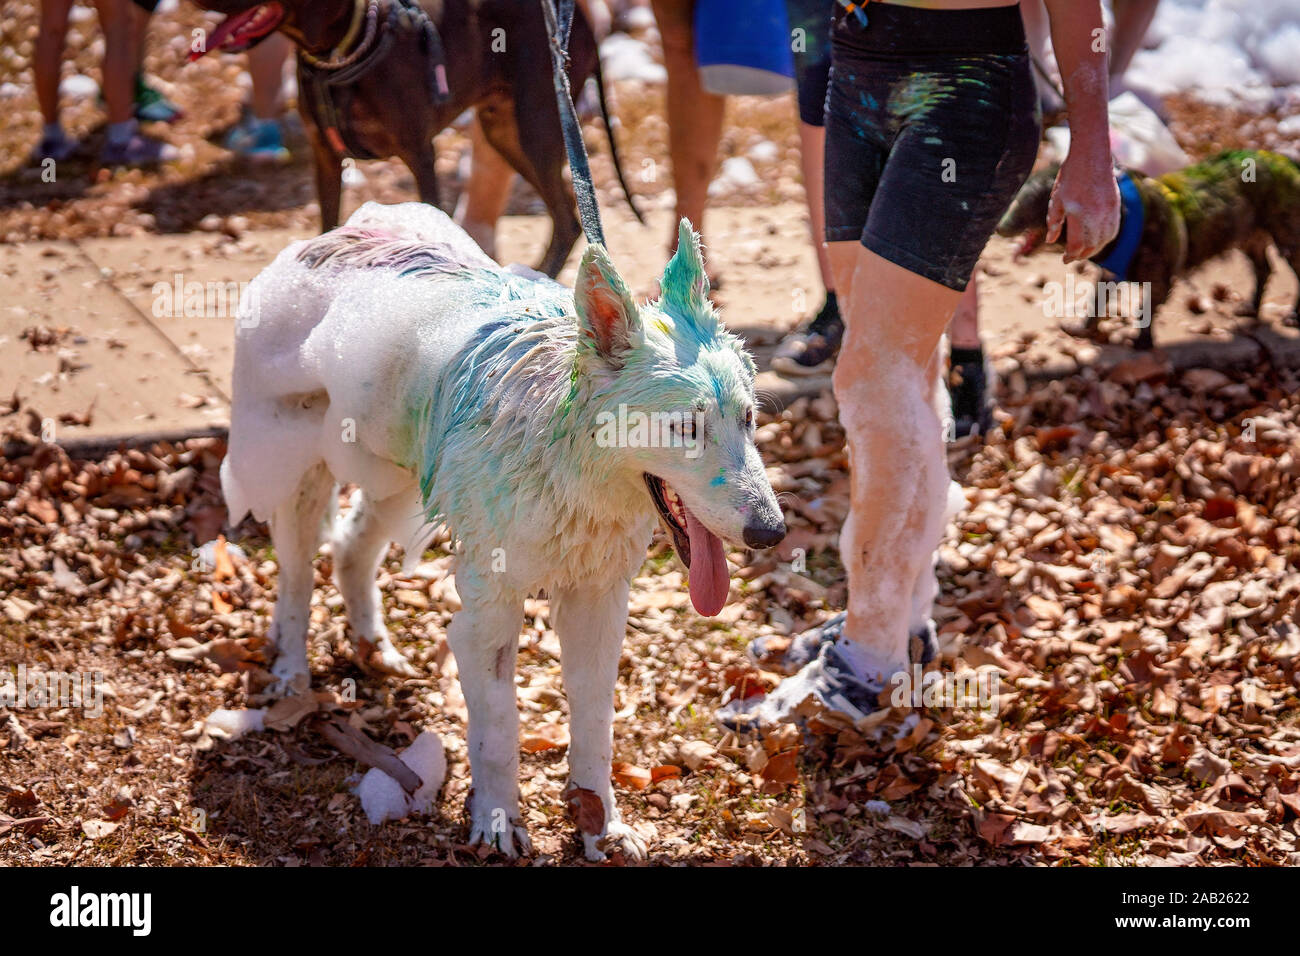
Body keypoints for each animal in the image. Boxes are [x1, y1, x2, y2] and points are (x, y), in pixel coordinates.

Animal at [192, 0, 639, 277]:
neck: (342, 51)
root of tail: (583, 23)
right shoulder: (325, 156)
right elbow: (328, 223)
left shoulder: (420, 153)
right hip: (505, 133)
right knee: (567, 218)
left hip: (535, 128)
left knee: (568, 218)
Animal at [998, 152, 1294, 351]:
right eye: (1016, 197)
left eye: (1034, 205)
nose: (999, 227)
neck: (1123, 222)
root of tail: (1287, 160)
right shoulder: (1108, 274)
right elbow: (1096, 302)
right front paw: (1080, 330)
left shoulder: (1160, 280)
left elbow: (1145, 310)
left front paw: (1142, 342)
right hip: (1251, 238)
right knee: (1264, 267)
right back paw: (1250, 308)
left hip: (1287, 236)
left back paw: (1291, 316)